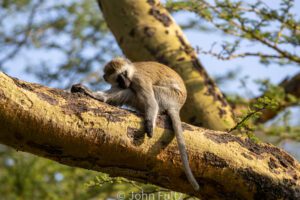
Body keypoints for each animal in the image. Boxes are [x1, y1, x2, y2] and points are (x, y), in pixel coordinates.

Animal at [71, 57, 199, 190]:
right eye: (119, 78)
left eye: (124, 73)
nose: (125, 81)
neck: (132, 72)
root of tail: (177, 106)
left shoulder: (139, 79)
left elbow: (151, 102)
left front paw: (149, 125)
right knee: (129, 91)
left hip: (167, 97)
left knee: (140, 92)